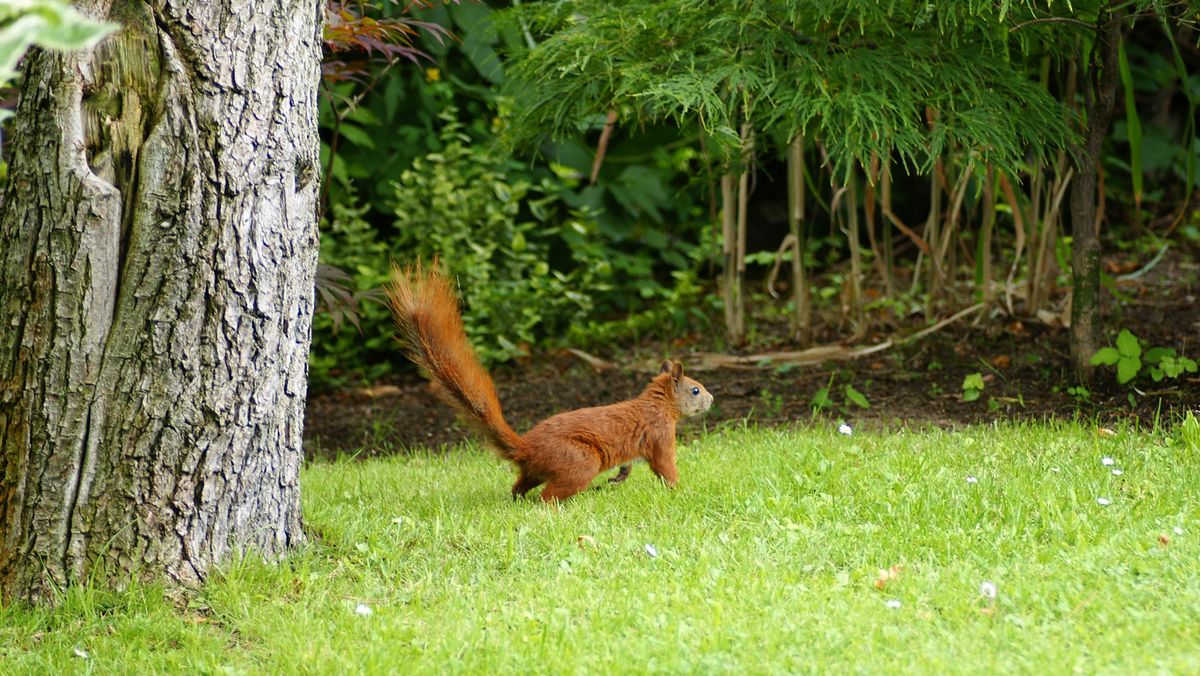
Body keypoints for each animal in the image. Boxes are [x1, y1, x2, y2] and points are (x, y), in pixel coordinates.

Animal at [386, 262, 710, 501]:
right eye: (695, 390)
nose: (712, 400)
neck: (659, 404)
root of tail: (527, 449)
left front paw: (622, 476)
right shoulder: (660, 434)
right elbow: (665, 466)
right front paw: (679, 490)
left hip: (535, 471)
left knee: (520, 487)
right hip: (580, 461)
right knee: (548, 496)